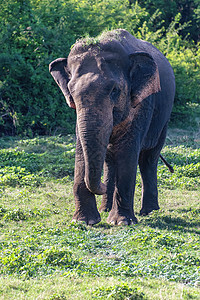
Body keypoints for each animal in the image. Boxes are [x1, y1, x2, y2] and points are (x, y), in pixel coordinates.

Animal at [49, 29, 175, 225]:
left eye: (115, 90)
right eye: (72, 92)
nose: (98, 185)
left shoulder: (141, 104)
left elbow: (126, 151)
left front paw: (121, 222)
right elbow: (81, 150)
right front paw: (84, 221)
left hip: (164, 120)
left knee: (149, 158)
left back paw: (148, 212)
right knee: (110, 161)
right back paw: (105, 208)